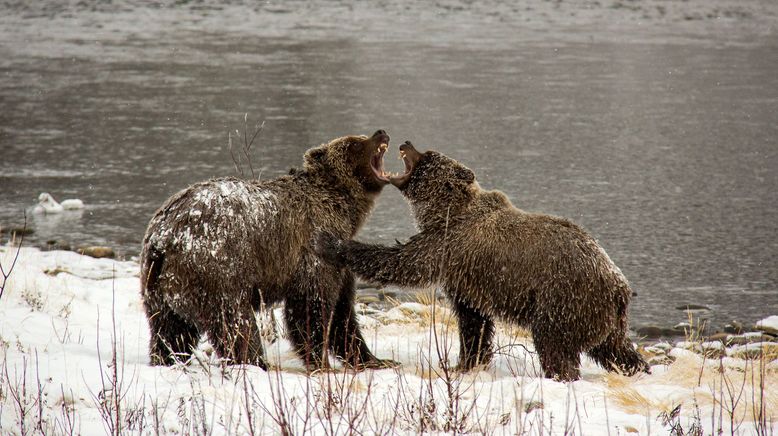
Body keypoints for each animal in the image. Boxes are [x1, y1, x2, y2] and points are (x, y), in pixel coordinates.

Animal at [139, 130, 398, 372]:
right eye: (354, 144)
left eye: (360, 137)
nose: (381, 133)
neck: (344, 210)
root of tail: (163, 236)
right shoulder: (313, 250)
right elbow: (311, 307)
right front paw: (321, 362)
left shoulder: (340, 260)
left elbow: (343, 316)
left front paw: (375, 359)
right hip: (217, 266)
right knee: (235, 323)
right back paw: (255, 362)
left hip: (159, 285)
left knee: (170, 331)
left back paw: (167, 360)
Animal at [316, 141, 648, 380]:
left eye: (428, 155)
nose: (407, 142)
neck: (445, 211)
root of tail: (618, 286)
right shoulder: (468, 277)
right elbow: (474, 322)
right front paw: (467, 362)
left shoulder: (447, 244)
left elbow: (404, 264)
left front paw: (335, 243)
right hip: (604, 318)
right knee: (615, 350)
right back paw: (638, 369)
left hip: (565, 299)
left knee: (554, 344)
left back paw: (558, 376)